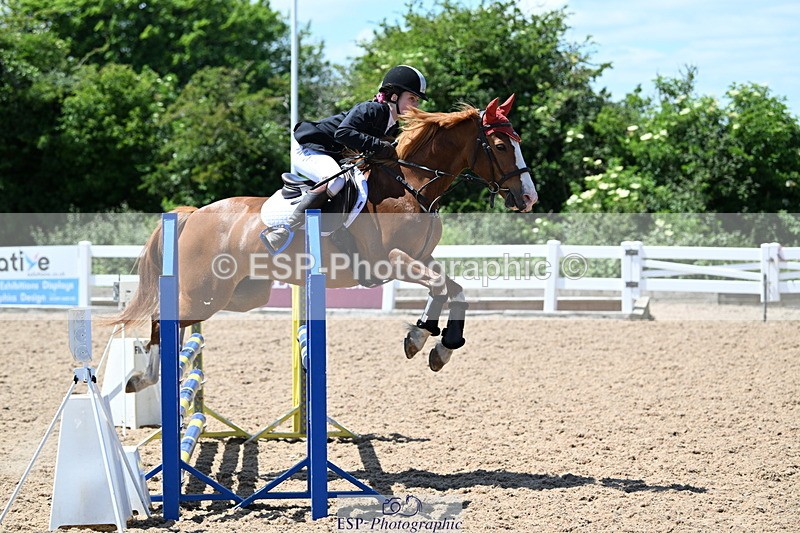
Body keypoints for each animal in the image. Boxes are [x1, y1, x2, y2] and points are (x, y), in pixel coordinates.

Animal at [113, 94, 537, 391]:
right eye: (501, 146)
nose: (530, 198)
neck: (411, 184)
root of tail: (194, 213)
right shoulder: (388, 260)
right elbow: (437, 286)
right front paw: (419, 337)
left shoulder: (420, 256)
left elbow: (455, 289)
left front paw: (443, 346)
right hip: (208, 293)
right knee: (160, 318)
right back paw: (142, 379)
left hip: (238, 295)